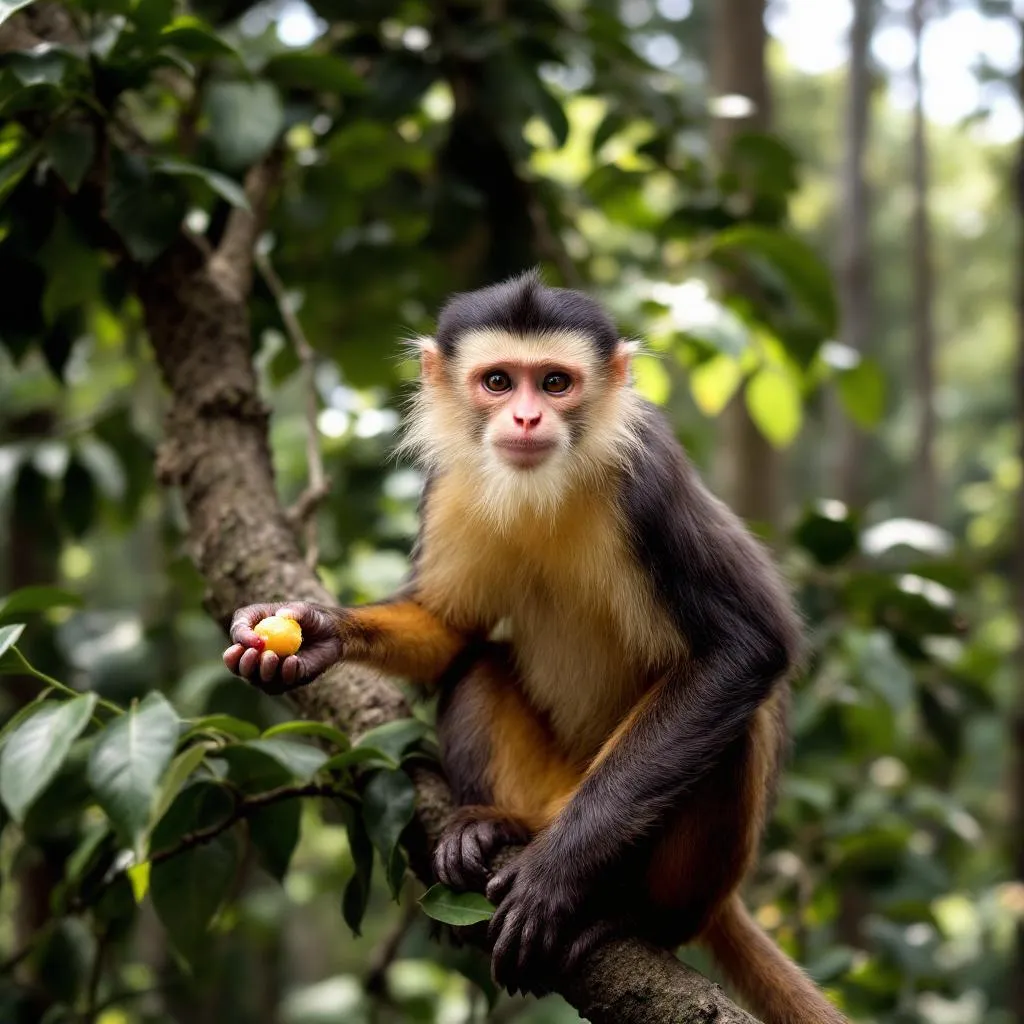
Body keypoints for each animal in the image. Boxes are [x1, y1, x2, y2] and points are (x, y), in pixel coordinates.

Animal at [222, 270, 848, 1024]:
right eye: (498, 381)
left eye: (554, 383)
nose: (524, 419)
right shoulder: (451, 486)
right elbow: (451, 629)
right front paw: (312, 634)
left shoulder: (650, 484)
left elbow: (748, 647)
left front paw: (552, 877)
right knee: (477, 665)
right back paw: (493, 828)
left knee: (736, 723)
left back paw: (631, 915)